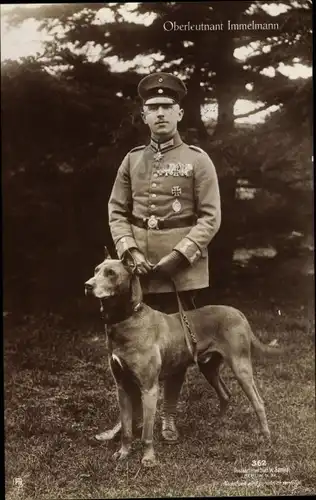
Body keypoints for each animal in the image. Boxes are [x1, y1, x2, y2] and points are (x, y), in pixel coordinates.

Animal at [84, 252, 282, 466]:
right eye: (95, 270)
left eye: (111, 273)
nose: (87, 285)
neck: (127, 318)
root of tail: (238, 312)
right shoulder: (122, 387)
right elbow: (127, 428)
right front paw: (123, 452)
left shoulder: (149, 389)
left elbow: (147, 433)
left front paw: (148, 457)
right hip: (209, 368)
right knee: (225, 394)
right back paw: (218, 423)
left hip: (240, 367)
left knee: (258, 402)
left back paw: (265, 437)